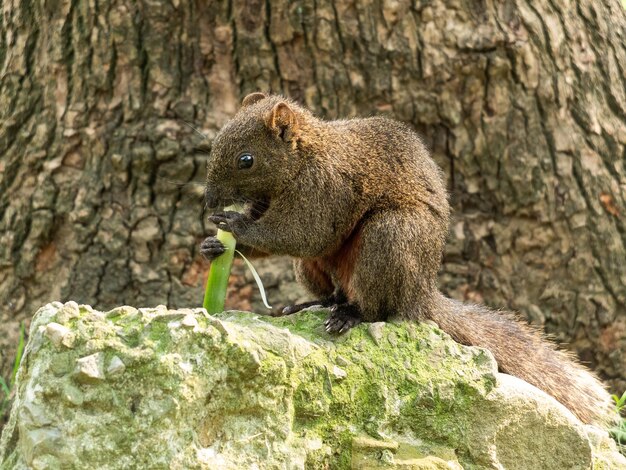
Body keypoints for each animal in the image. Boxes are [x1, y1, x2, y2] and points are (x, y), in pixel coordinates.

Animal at [199, 91, 608, 426]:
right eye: (216, 144)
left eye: (246, 160)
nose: (208, 201)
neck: (305, 156)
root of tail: (420, 292)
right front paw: (213, 246)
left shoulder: (326, 187)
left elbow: (302, 234)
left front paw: (233, 227)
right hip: (318, 269)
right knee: (332, 290)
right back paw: (309, 304)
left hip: (390, 237)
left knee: (376, 307)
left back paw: (349, 315)